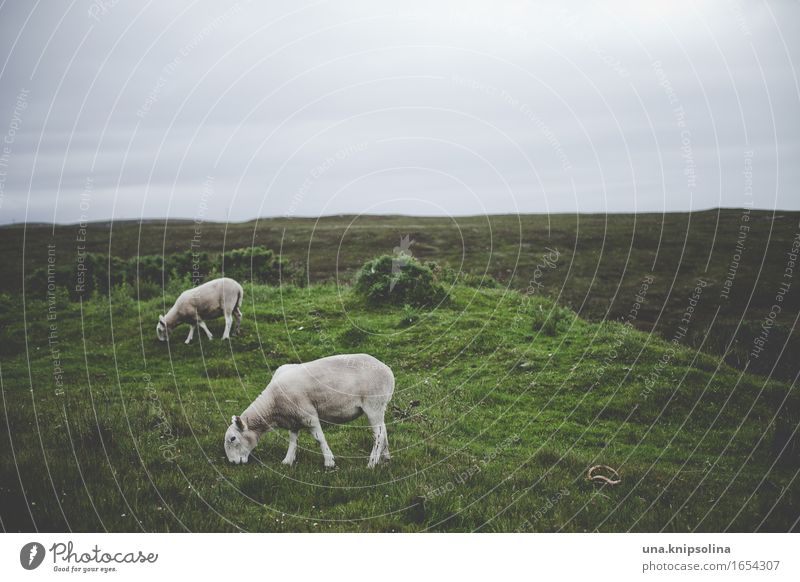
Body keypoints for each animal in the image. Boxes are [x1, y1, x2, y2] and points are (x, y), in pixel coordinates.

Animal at [225, 354, 394, 472]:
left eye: (233, 439)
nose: (232, 463)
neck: (273, 406)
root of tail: (388, 371)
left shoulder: (308, 415)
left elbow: (319, 438)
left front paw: (329, 462)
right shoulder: (293, 418)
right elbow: (293, 441)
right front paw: (287, 461)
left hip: (373, 404)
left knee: (378, 435)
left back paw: (371, 463)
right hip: (380, 406)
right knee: (384, 430)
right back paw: (385, 458)